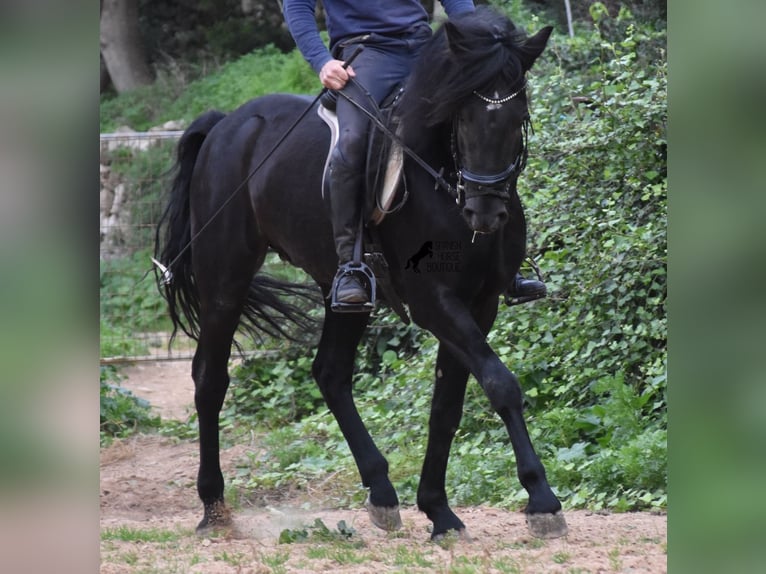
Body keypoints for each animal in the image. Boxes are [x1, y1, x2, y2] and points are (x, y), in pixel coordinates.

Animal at [156, 6, 568, 544]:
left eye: (519, 117)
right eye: (462, 118)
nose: (485, 213)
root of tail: (228, 123)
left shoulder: (480, 304)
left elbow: (447, 407)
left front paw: (439, 511)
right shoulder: (434, 301)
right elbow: (501, 383)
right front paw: (542, 501)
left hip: (343, 288)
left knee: (330, 373)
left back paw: (382, 492)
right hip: (224, 281)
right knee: (210, 378)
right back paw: (213, 506)